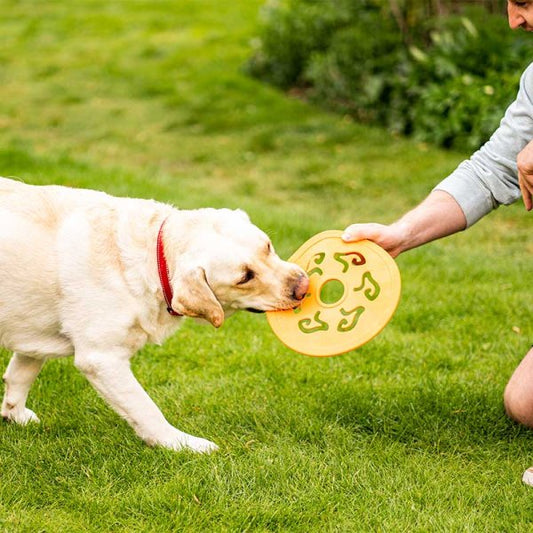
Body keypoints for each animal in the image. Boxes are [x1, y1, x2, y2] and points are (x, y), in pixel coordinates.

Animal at [0, 177, 308, 450]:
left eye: (267, 246)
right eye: (245, 277)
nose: (303, 287)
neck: (153, 255)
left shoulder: (33, 329)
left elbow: (20, 375)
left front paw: (14, 414)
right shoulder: (101, 358)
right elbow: (146, 409)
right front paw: (181, 443)